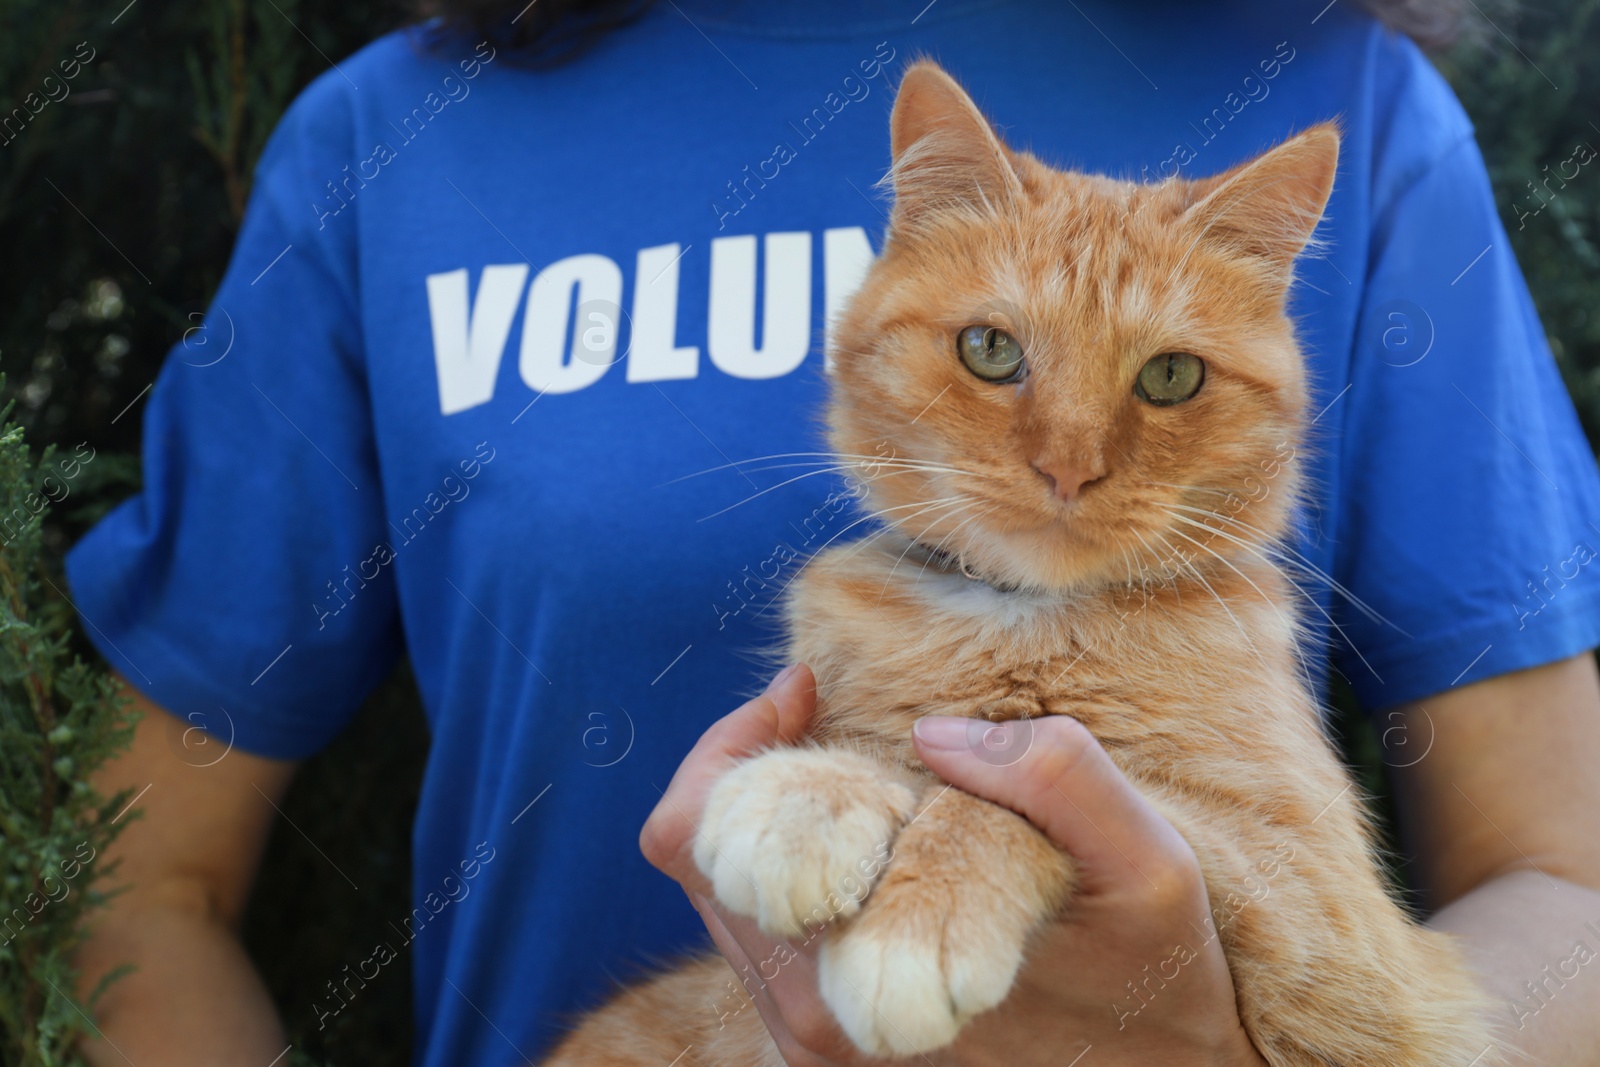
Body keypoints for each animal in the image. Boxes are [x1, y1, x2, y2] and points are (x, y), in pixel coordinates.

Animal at [547, 64, 1497, 1067]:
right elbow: (899, 746)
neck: (1024, 621)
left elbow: (1000, 778)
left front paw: (917, 908)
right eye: (991, 349)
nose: (1069, 468)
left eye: (1171, 376)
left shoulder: (1327, 914)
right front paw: (813, 789)